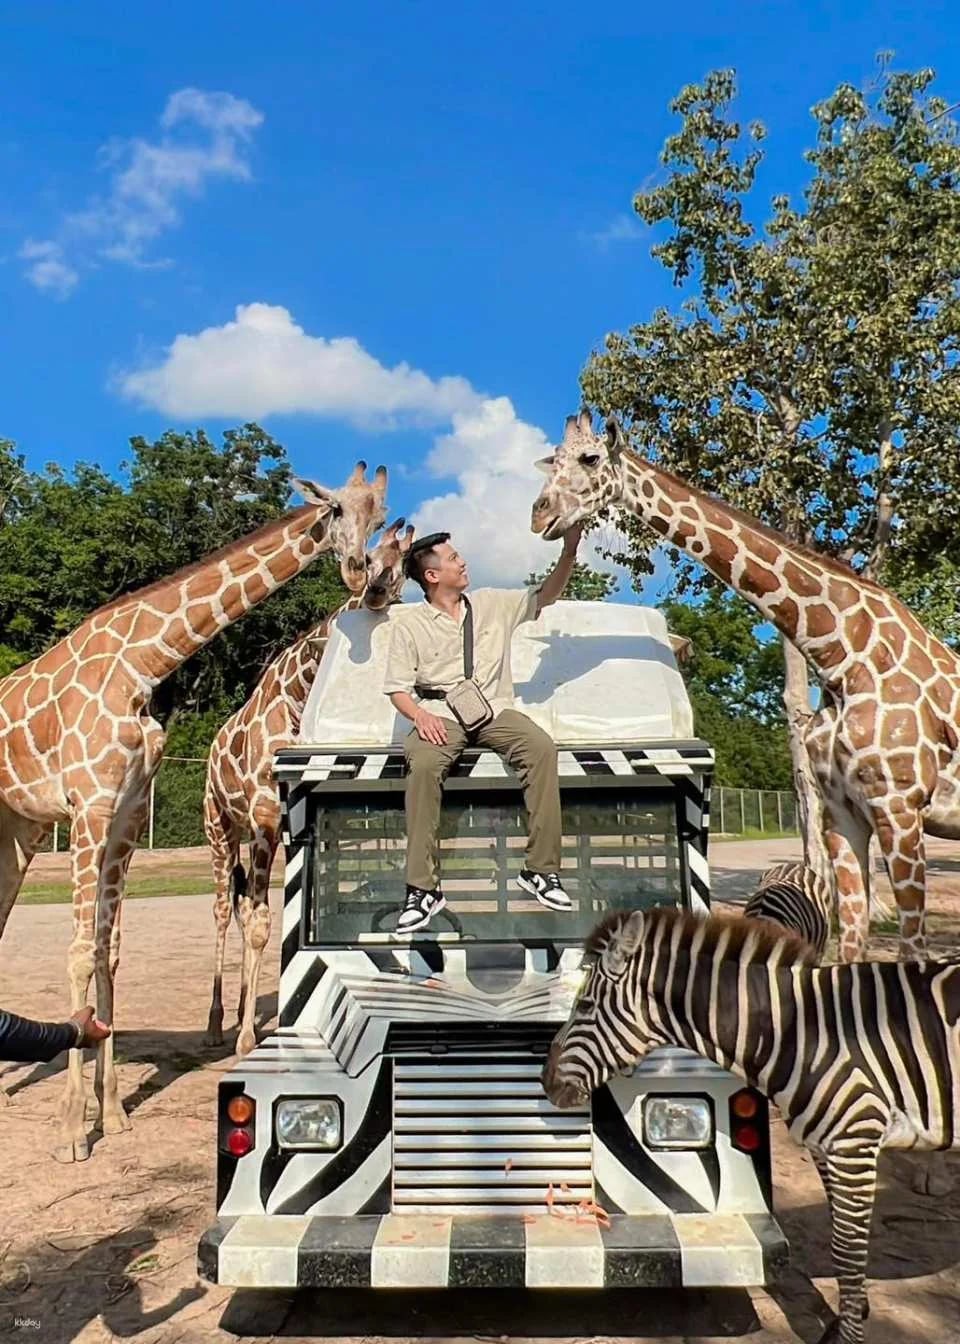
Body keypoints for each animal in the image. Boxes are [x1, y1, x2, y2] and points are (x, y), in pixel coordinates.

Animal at [0, 462, 388, 1161]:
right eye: (335, 511)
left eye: (380, 516)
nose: (358, 573)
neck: (141, 664)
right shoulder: (92, 808)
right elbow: (82, 951)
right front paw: (71, 1129)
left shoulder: (126, 818)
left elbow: (110, 950)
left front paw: (112, 1114)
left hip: (20, 827)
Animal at [203, 518, 414, 1056]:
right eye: (372, 559)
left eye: (402, 570)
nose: (376, 589)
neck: (298, 696)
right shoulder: (262, 814)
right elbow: (262, 922)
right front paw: (247, 1039)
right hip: (219, 826)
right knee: (224, 909)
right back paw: (216, 1025)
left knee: (244, 905)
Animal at [531, 411, 960, 969]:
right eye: (551, 461)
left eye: (590, 458)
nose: (539, 515)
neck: (839, 656)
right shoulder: (843, 816)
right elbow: (850, 949)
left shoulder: (900, 808)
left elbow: (911, 953)